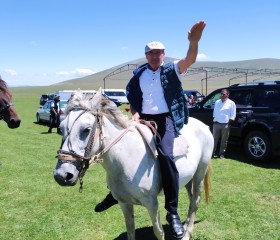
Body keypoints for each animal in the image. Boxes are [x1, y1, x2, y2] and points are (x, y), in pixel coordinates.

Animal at [53, 90, 213, 240]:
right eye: (61, 128)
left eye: (86, 130)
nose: (62, 175)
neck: (127, 160)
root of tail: (204, 126)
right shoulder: (124, 203)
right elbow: (130, 229)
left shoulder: (152, 204)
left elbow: (158, 232)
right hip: (188, 179)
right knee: (192, 199)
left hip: (200, 173)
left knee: (195, 200)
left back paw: (186, 232)